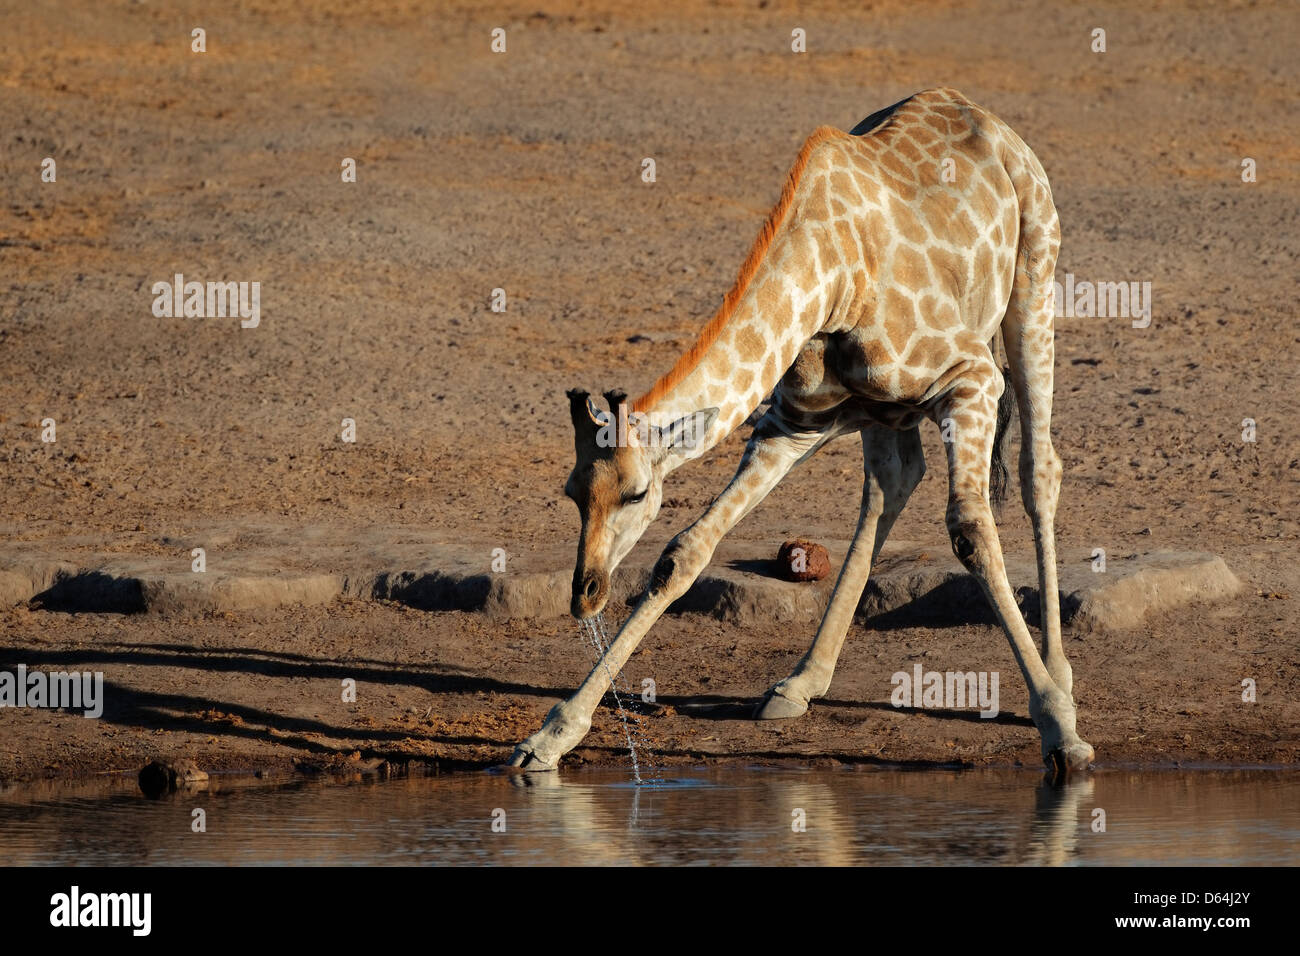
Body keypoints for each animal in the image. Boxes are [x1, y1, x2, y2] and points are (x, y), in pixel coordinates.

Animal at [509, 87, 1097, 780]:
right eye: (573, 493)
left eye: (635, 494)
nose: (586, 593)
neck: (832, 278)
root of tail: (982, 115)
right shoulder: (790, 423)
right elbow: (684, 552)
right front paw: (550, 736)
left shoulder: (971, 379)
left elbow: (972, 533)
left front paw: (1059, 729)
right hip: (879, 414)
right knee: (892, 484)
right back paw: (800, 681)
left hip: (1033, 285)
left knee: (1038, 469)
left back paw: (1060, 674)